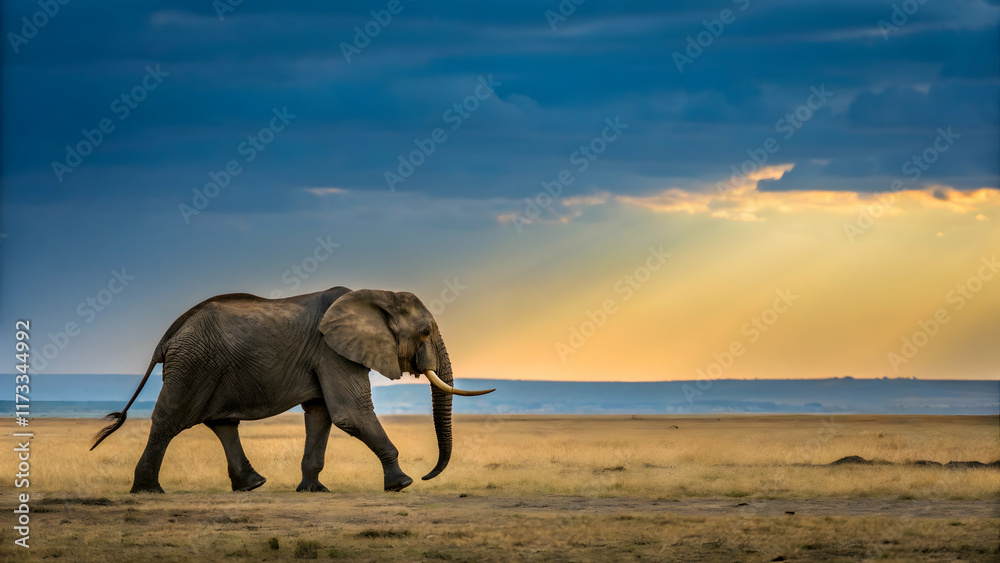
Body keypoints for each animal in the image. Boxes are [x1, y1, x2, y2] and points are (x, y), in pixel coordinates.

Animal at [90, 286, 493, 494]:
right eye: (424, 332)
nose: (427, 475)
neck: (377, 295)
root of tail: (169, 335)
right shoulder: (331, 350)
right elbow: (351, 413)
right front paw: (402, 484)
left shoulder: (327, 355)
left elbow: (321, 414)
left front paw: (313, 490)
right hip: (194, 362)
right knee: (170, 419)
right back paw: (147, 491)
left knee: (221, 422)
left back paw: (252, 485)